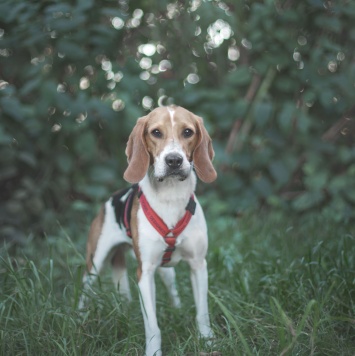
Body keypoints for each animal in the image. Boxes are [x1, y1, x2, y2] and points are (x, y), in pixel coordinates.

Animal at [80, 105, 218, 356]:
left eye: (187, 132)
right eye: (156, 132)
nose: (174, 160)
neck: (171, 196)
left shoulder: (198, 266)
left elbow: (202, 312)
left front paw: (208, 341)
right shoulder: (144, 274)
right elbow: (152, 325)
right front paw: (153, 351)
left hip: (165, 270)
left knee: (172, 287)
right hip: (95, 260)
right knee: (85, 290)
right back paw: (79, 319)